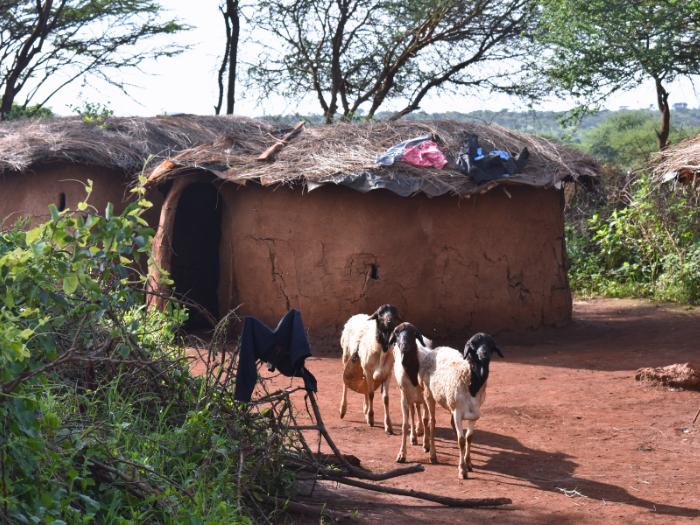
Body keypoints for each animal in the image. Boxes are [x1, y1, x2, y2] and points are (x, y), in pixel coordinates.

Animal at [338, 302, 400, 434]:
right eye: (380, 314)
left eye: (394, 313)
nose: (389, 321)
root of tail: (355, 316)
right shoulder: (369, 370)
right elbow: (371, 394)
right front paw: (371, 419)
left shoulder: (387, 373)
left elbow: (386, 398)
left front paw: (388, 425)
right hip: (346, 357)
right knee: (345, 384)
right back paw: (343, 410)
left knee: (365, 386)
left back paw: (365, 410)